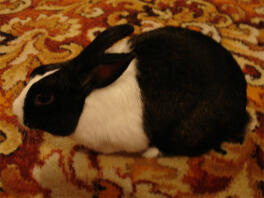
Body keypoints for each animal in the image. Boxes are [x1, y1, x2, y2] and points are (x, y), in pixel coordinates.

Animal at [12, 24, 249, 158]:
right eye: (37, 70)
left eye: (44, 98)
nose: (14, 109)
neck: (87, 98)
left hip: (190, 129)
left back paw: (151, 153)